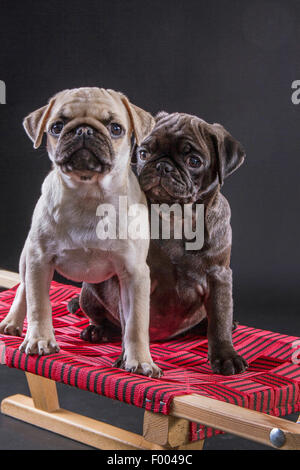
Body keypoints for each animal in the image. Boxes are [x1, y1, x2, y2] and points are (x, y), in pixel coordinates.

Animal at [0, 86, 162, 376]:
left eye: (116, 128)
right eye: (56, 127)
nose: (84, 130)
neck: (89, 196)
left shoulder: (134, 273)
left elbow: (136, 322)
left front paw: (140, 359)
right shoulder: (40, 261)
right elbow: (39, 305)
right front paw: (40, 340)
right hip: (27, 257)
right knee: (23, 291)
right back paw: (13, 321)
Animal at [68, 111, 248, 374]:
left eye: (194, 161)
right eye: (144, 153)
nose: (163, 166)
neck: (174, 217)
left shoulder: (219, 277)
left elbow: (219, 321)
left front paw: (226, 355)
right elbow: (131, 323)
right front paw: (130, 357)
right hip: (91, 287)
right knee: (103, 317)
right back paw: (98, 330)